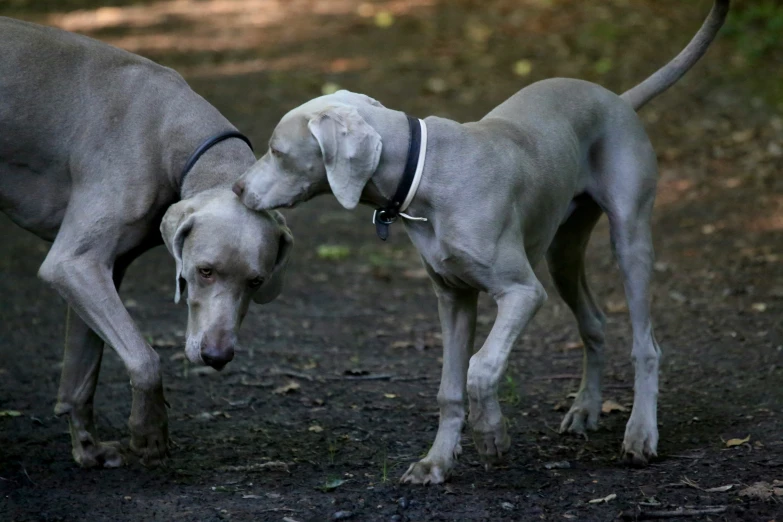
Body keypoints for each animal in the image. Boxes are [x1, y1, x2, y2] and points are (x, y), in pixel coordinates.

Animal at [0, 18, 294, 468]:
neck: (170, 129)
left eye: (257, 282)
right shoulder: (74, 264)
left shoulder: (103, 272)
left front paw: (89, 449)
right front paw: (148, 432)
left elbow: (81, 375)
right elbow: (145, 358)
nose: (217, 358)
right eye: (204, 272)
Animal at [231, 0, 728, 484]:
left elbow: (481, 367)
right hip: (562, 251)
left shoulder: (522, 292)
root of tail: (617, 99)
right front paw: (436, 462)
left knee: (646, 344)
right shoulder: (453, 296)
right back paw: (586, 409)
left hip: (629, 236)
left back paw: (641, 434)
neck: (426, 170)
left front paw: (492, 437)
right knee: (594, 320)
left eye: (276, 151)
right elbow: (449, 388)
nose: (236, 188)